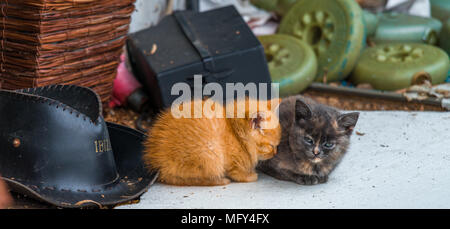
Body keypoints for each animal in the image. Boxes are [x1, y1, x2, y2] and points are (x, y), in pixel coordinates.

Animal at [143, 98, 282, 186]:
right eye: (271, 146)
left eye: (277, 146)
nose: (275, 153)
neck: (236, 134)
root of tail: (158, 162)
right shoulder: (231, 162)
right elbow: (236, 173)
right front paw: (249, 176)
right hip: (209, 153)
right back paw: (221, 181)